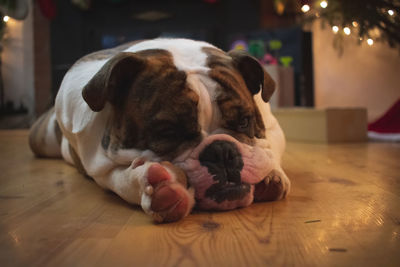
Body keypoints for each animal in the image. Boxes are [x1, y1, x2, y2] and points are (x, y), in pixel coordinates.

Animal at [28, 39, 290, 224]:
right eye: (168, 133)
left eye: (245, 121)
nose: (221, 151)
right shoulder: (100, 166)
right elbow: (121, 180)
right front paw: (159, 188)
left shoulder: (274, 129)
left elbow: (269, 149)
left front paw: (271, 175)